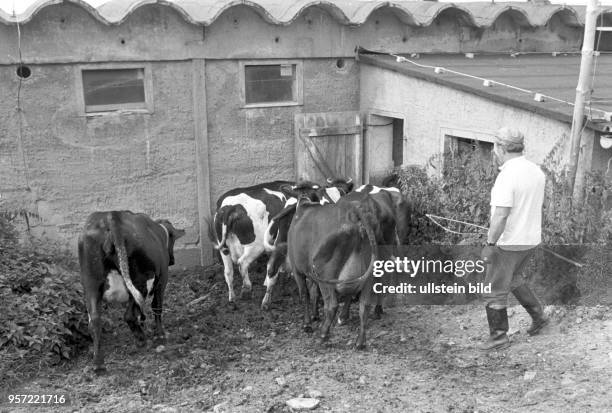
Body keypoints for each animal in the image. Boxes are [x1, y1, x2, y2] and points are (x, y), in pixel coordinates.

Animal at [76, 211, 183, 372]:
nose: (173, 260)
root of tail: (110, 217)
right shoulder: (162, 279)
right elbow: (157, 306)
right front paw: (160, 335)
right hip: (141, 280)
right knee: (129, 315)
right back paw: (141, 340)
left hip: (91, 284)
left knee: (94, 320)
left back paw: (98, 363)